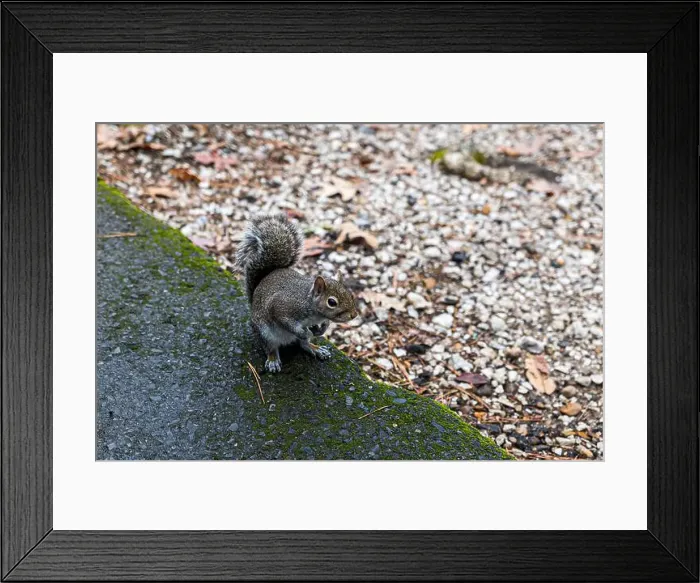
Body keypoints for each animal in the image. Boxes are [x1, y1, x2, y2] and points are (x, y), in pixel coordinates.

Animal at [235, 215, 358, 373]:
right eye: (332, 302)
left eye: (350, 294)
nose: (354, 315)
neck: (311, 306)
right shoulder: (282, 307)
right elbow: (286, 322)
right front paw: (304, 332)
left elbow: (323, 325)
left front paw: (321, 330)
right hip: (265, 332)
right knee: (270, 347)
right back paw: (273, 359)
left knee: (303, 345)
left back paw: (316, 348)